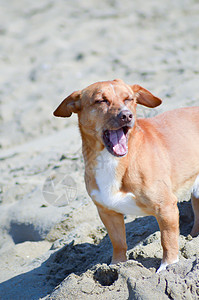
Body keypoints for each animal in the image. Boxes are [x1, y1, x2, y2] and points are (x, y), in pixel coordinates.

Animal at [53, 79, 199, 272]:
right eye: (101, 100)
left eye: (128, 99)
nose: (127, 116)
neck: (112, 160)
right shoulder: (108, 213)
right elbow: (118, 243)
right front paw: (117, 266)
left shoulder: (165, 207)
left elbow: (167, 240)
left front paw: (168, 267)